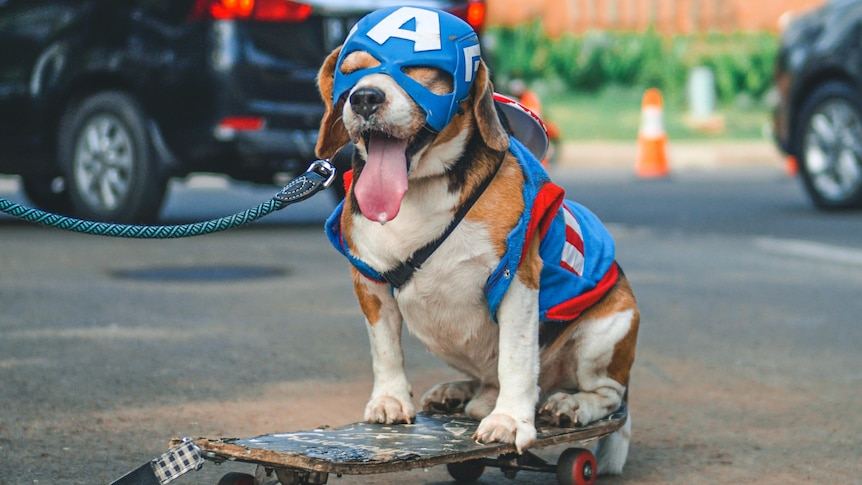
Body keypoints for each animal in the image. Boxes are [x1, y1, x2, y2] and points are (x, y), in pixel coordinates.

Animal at [314, 4, 636, 472]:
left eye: (423, 70)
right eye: (352, 72)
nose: (365, 98)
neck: (421, 187)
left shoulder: (515, 280)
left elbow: (517, 360)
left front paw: (509, 422)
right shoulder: (369, 281)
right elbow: (385, 348)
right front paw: (390, 399)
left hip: (607, 333)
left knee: (606, 396)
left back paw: (569, 404)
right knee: (486, 378)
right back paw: (463, 393)